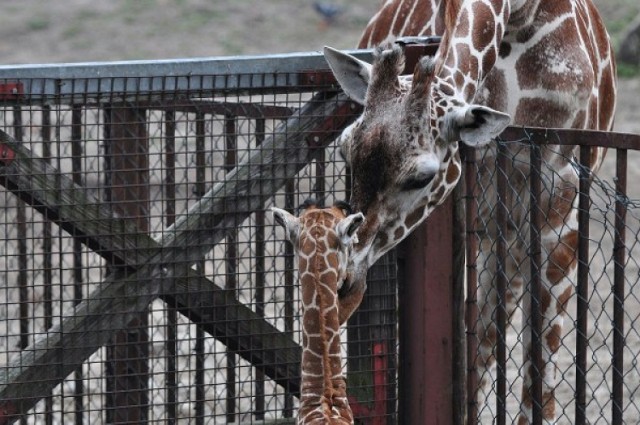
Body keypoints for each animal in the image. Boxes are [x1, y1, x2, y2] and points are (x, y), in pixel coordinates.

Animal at [322, 0, 616, 424]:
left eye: (422, 176)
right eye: (346, 149)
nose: (342, 281)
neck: (520, 17)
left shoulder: (559, 213)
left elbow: (538, 380)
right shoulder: (468, 216)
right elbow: (462, 348)